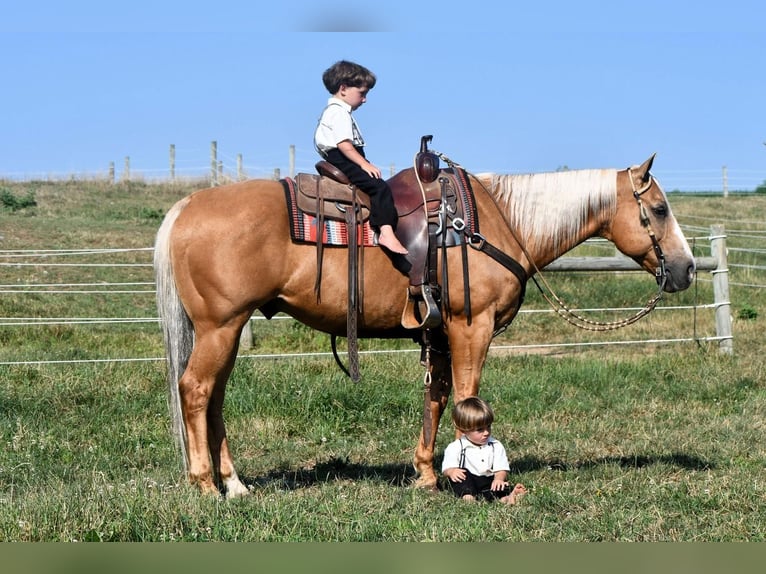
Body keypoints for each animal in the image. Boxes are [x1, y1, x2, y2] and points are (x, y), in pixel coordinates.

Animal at [154, 153, 696, 500]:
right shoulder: (470, 327)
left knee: (214, 398)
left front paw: (426, 474)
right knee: (196, 390)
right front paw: (466, 475)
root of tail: (187, 207)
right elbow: (468, 396)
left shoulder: (439, 333)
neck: (495, 222)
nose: (687, 269)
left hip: (226, 330)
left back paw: (235, 484)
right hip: (220, 326)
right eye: (659, 209)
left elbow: (436, 397)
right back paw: (206, 484)